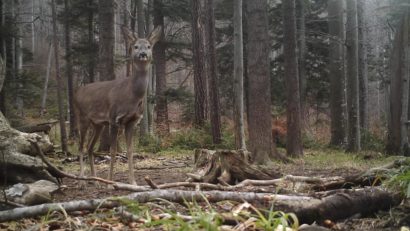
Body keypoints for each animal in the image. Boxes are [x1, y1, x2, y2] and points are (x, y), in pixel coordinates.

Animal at [74, 25, 161, 184]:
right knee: (81, 146)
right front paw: (110, 183)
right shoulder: (114, 118)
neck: (131, 95)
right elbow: (113, 151)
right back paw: (82, 179)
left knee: (89, 147)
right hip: (82, 117)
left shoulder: (132, 121)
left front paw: (133, 182)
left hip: (98, 124)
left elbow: (130, 151)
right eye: (135, 46)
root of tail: (76, 92)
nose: (143, 54)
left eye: (149, 46)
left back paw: (95, 179)